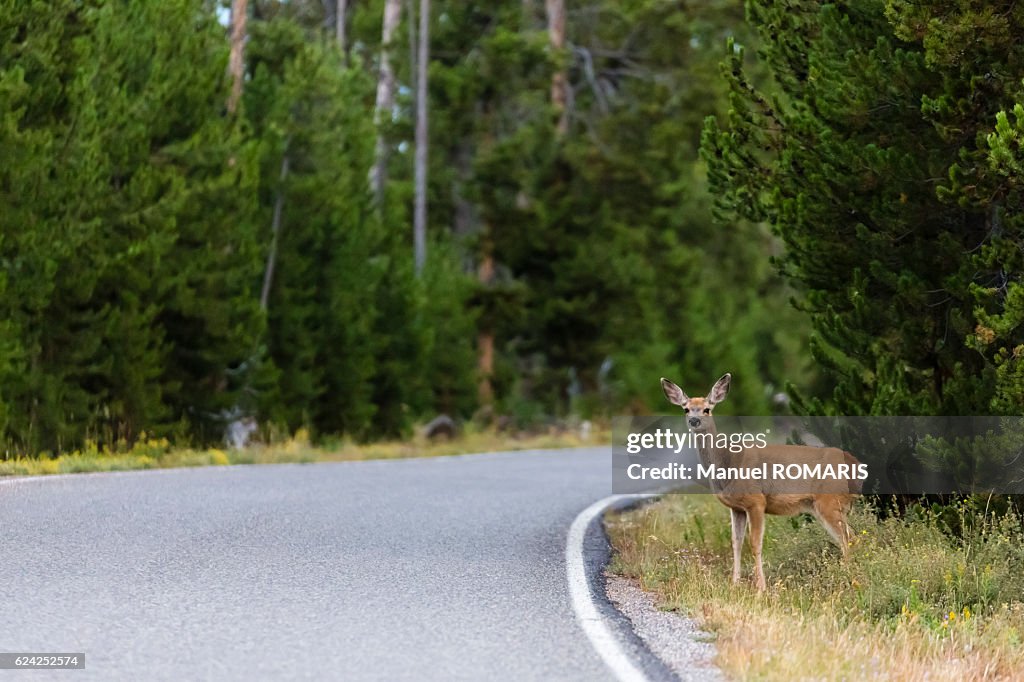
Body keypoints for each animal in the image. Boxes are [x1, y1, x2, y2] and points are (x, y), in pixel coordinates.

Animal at [660, 373, 861, 591]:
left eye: (707, 409)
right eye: (686, 409)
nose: (694, 420)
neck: (729, 463)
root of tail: (856, 465)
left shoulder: (756, 501)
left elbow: (755, 543)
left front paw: (761, 589)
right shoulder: (736, 507)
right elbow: (736, 542)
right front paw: (735, 584)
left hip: (829, 500)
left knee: (849, 537)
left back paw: (849, 578)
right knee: (849, 536)